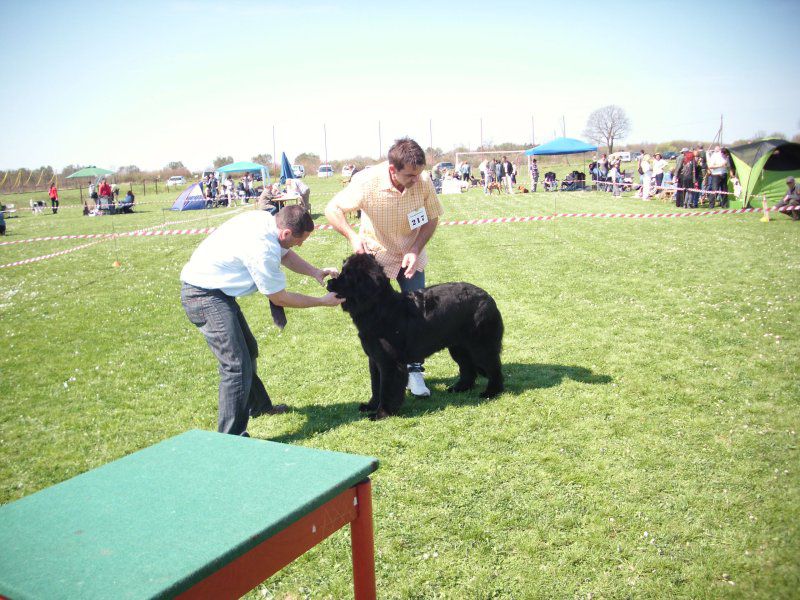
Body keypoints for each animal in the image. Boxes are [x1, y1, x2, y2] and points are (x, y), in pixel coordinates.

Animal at [326, 255, 504, 420]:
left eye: (347, 275)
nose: (329, 282)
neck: (379, 308)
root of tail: (488, 297)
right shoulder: (375, 359)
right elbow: (375, 385)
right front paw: (370, 406)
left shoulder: (390, 363)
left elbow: (386, 389)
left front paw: (382, 413)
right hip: (458, 347)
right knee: (468, 368)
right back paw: (460, 388)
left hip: (481, 346)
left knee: (493, 368)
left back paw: (491, 392)